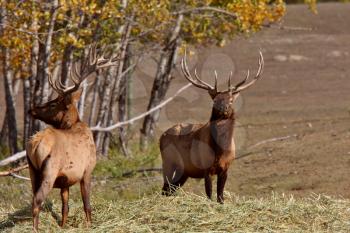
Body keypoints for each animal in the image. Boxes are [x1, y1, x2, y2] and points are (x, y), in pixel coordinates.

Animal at [26, 45, 118, 231]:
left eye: (53, 103)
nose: (31, 109)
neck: (75, 125)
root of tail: (34, 144)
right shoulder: (88, 170)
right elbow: (87, 204)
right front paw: (90, 225)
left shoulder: (65, 181)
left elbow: (65, 207)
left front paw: (62, 226)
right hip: (49, 171)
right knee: (37, 201)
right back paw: (35, 229)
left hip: (32, 171)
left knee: (35, 198)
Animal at [160, 50, 264, 202]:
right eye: (215, 100)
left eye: (231, 100)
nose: (223, 108)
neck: (220, 151)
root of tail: (161, 136)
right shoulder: (205, 168)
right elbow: (209, 194)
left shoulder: (226, 168)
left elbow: (220, 196)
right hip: (168, 161)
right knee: (165, 189)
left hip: (184, 171)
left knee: (170, 189)